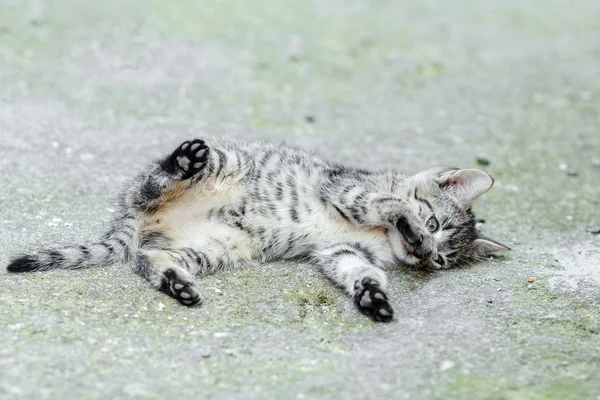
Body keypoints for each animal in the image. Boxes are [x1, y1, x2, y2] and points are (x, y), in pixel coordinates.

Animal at [7, 138, 508, 322]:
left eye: (443, 262)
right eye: (434, 222)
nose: (425, 255)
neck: (378, 241)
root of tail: (133, 218)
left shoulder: (339, 252)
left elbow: (359, 271)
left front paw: (372, 296)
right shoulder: (345, 189)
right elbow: (388, 204)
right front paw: (406, 223)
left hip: (215, 248)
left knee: (147, 258)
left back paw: (176, 283)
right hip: (219, 164)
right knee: (152, 186)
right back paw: (180, 162)